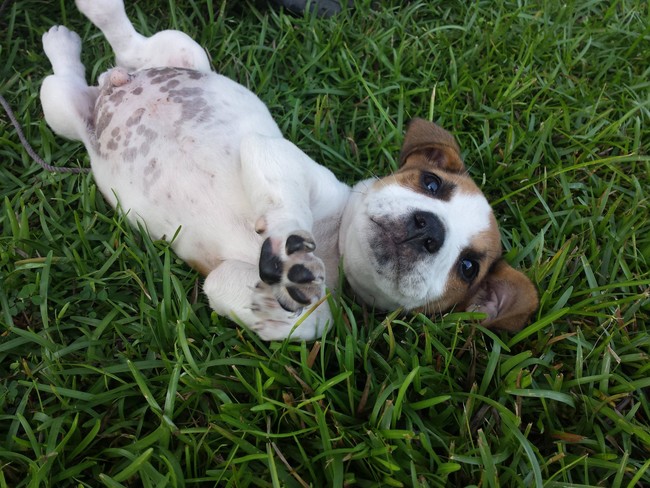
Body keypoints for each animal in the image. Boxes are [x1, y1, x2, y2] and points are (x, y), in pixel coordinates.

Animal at [39, 0, 536, 342]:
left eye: (468, 267)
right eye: (432, 183)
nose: (428, 228)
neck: (335, 251)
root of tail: (107, 91)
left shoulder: (276, 294)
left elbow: (306, 315)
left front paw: (279, 297)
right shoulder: (274, 153)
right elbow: (286, 204)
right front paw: (293, 249)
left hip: (62, 109)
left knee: (90, 69)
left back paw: (69, 41)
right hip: (177, 50)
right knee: (127, 46)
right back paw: (74, 32)